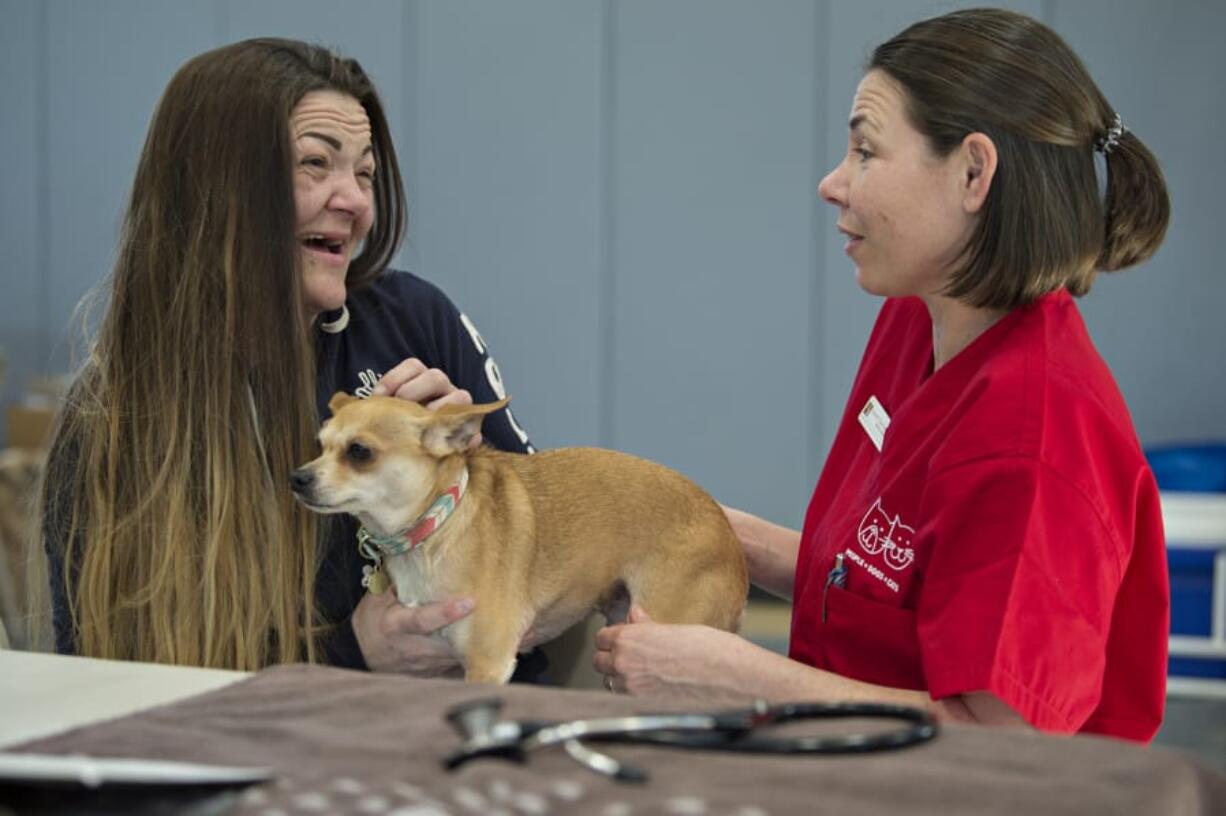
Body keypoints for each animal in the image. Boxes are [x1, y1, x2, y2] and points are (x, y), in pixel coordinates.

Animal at [290, 392, 745, 681]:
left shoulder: (487, 665)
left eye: (359, 452)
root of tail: (726, 532)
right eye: (319, 446)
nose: (298, 477)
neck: (437, 526)